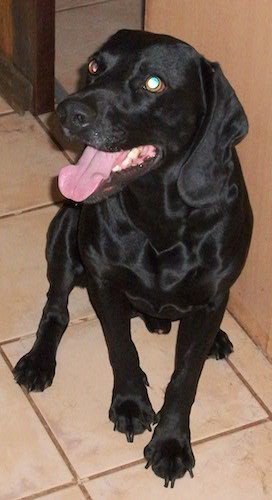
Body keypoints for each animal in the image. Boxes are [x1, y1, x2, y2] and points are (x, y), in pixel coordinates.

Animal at [13, 29, 253, 486]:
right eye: (94, 66)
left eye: (153, 83)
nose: (68, 112)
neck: (160, 214)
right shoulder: (105, 283)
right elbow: (121, 348)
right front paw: (129, 403)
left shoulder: (212, 298)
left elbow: (185, 377)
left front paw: (171, 443)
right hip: (63, 235)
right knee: (56, 308)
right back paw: (39, 360)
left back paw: (215, 338)